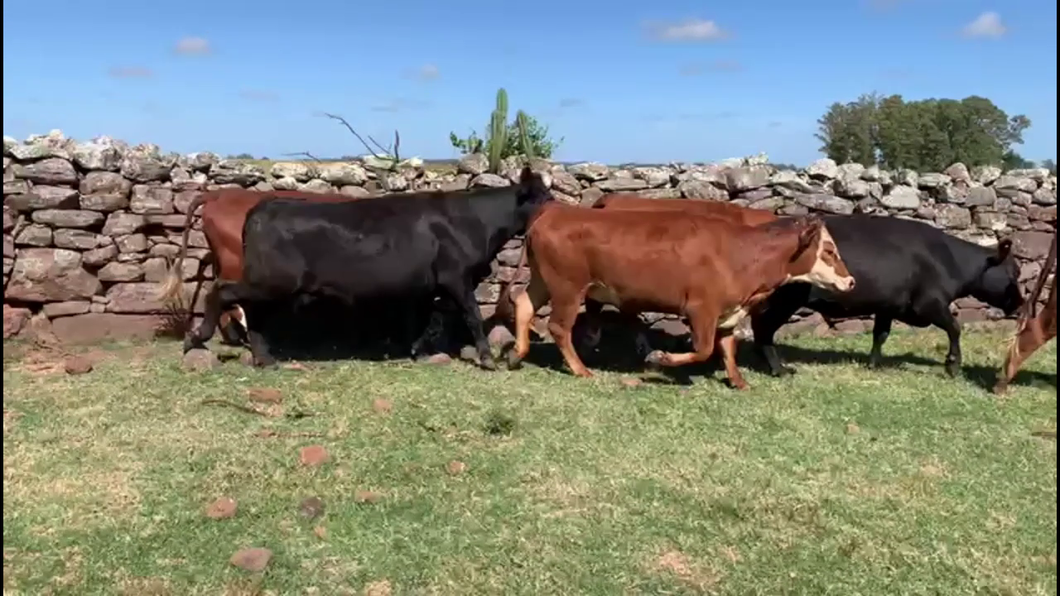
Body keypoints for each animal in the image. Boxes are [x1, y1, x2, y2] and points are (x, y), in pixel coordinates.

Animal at [180, 164, 555, 364]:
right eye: (542, 197)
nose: (560, 209)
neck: (474, 221)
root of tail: (263, 206)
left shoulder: (429, 285)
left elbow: (428, 319)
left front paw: (416, 349)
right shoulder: (457, 278)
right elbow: (473, 316)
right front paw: (486, 358)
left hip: (270, 283)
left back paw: (265, 359)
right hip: (272, 280)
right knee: (222, 292)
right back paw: (197, 338)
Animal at [500, 199, 856, 388]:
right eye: (828, 251)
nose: (851, 282)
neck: (742, 252)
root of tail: (557, 209)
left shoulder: (727, 312)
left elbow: (727, 349)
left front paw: (738, 381)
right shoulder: (701, 310)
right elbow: (703, 349)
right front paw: (661, 359)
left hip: (544, 281)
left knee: (523, 304)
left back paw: (517, 353)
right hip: (567, 288)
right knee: (559, 327)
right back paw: (580, 369)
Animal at [750, 215, 1021, 375]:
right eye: (1014, 272)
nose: (1020, 303)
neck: (947, 259)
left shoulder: (888, 306)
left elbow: (880, 334)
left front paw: (873, 364)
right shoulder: (929, 304)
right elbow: (955, 328)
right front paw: (953, 364)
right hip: (783, 302)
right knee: (763, 330)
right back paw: (779, 369)